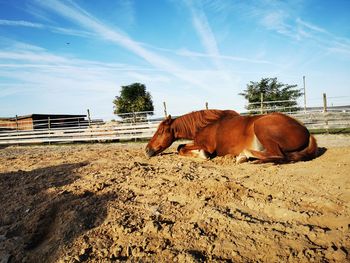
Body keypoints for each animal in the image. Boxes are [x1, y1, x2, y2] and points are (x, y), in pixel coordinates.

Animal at [145, 109, 318, 163]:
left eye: (161, 131)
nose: (147, 150)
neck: (205, 125)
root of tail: (306, 131)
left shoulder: (205, 144)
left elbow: (181, 148)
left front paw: (202, 155)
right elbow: (181, 147)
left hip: (262, 127)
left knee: (277, 155)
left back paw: (243, 156)